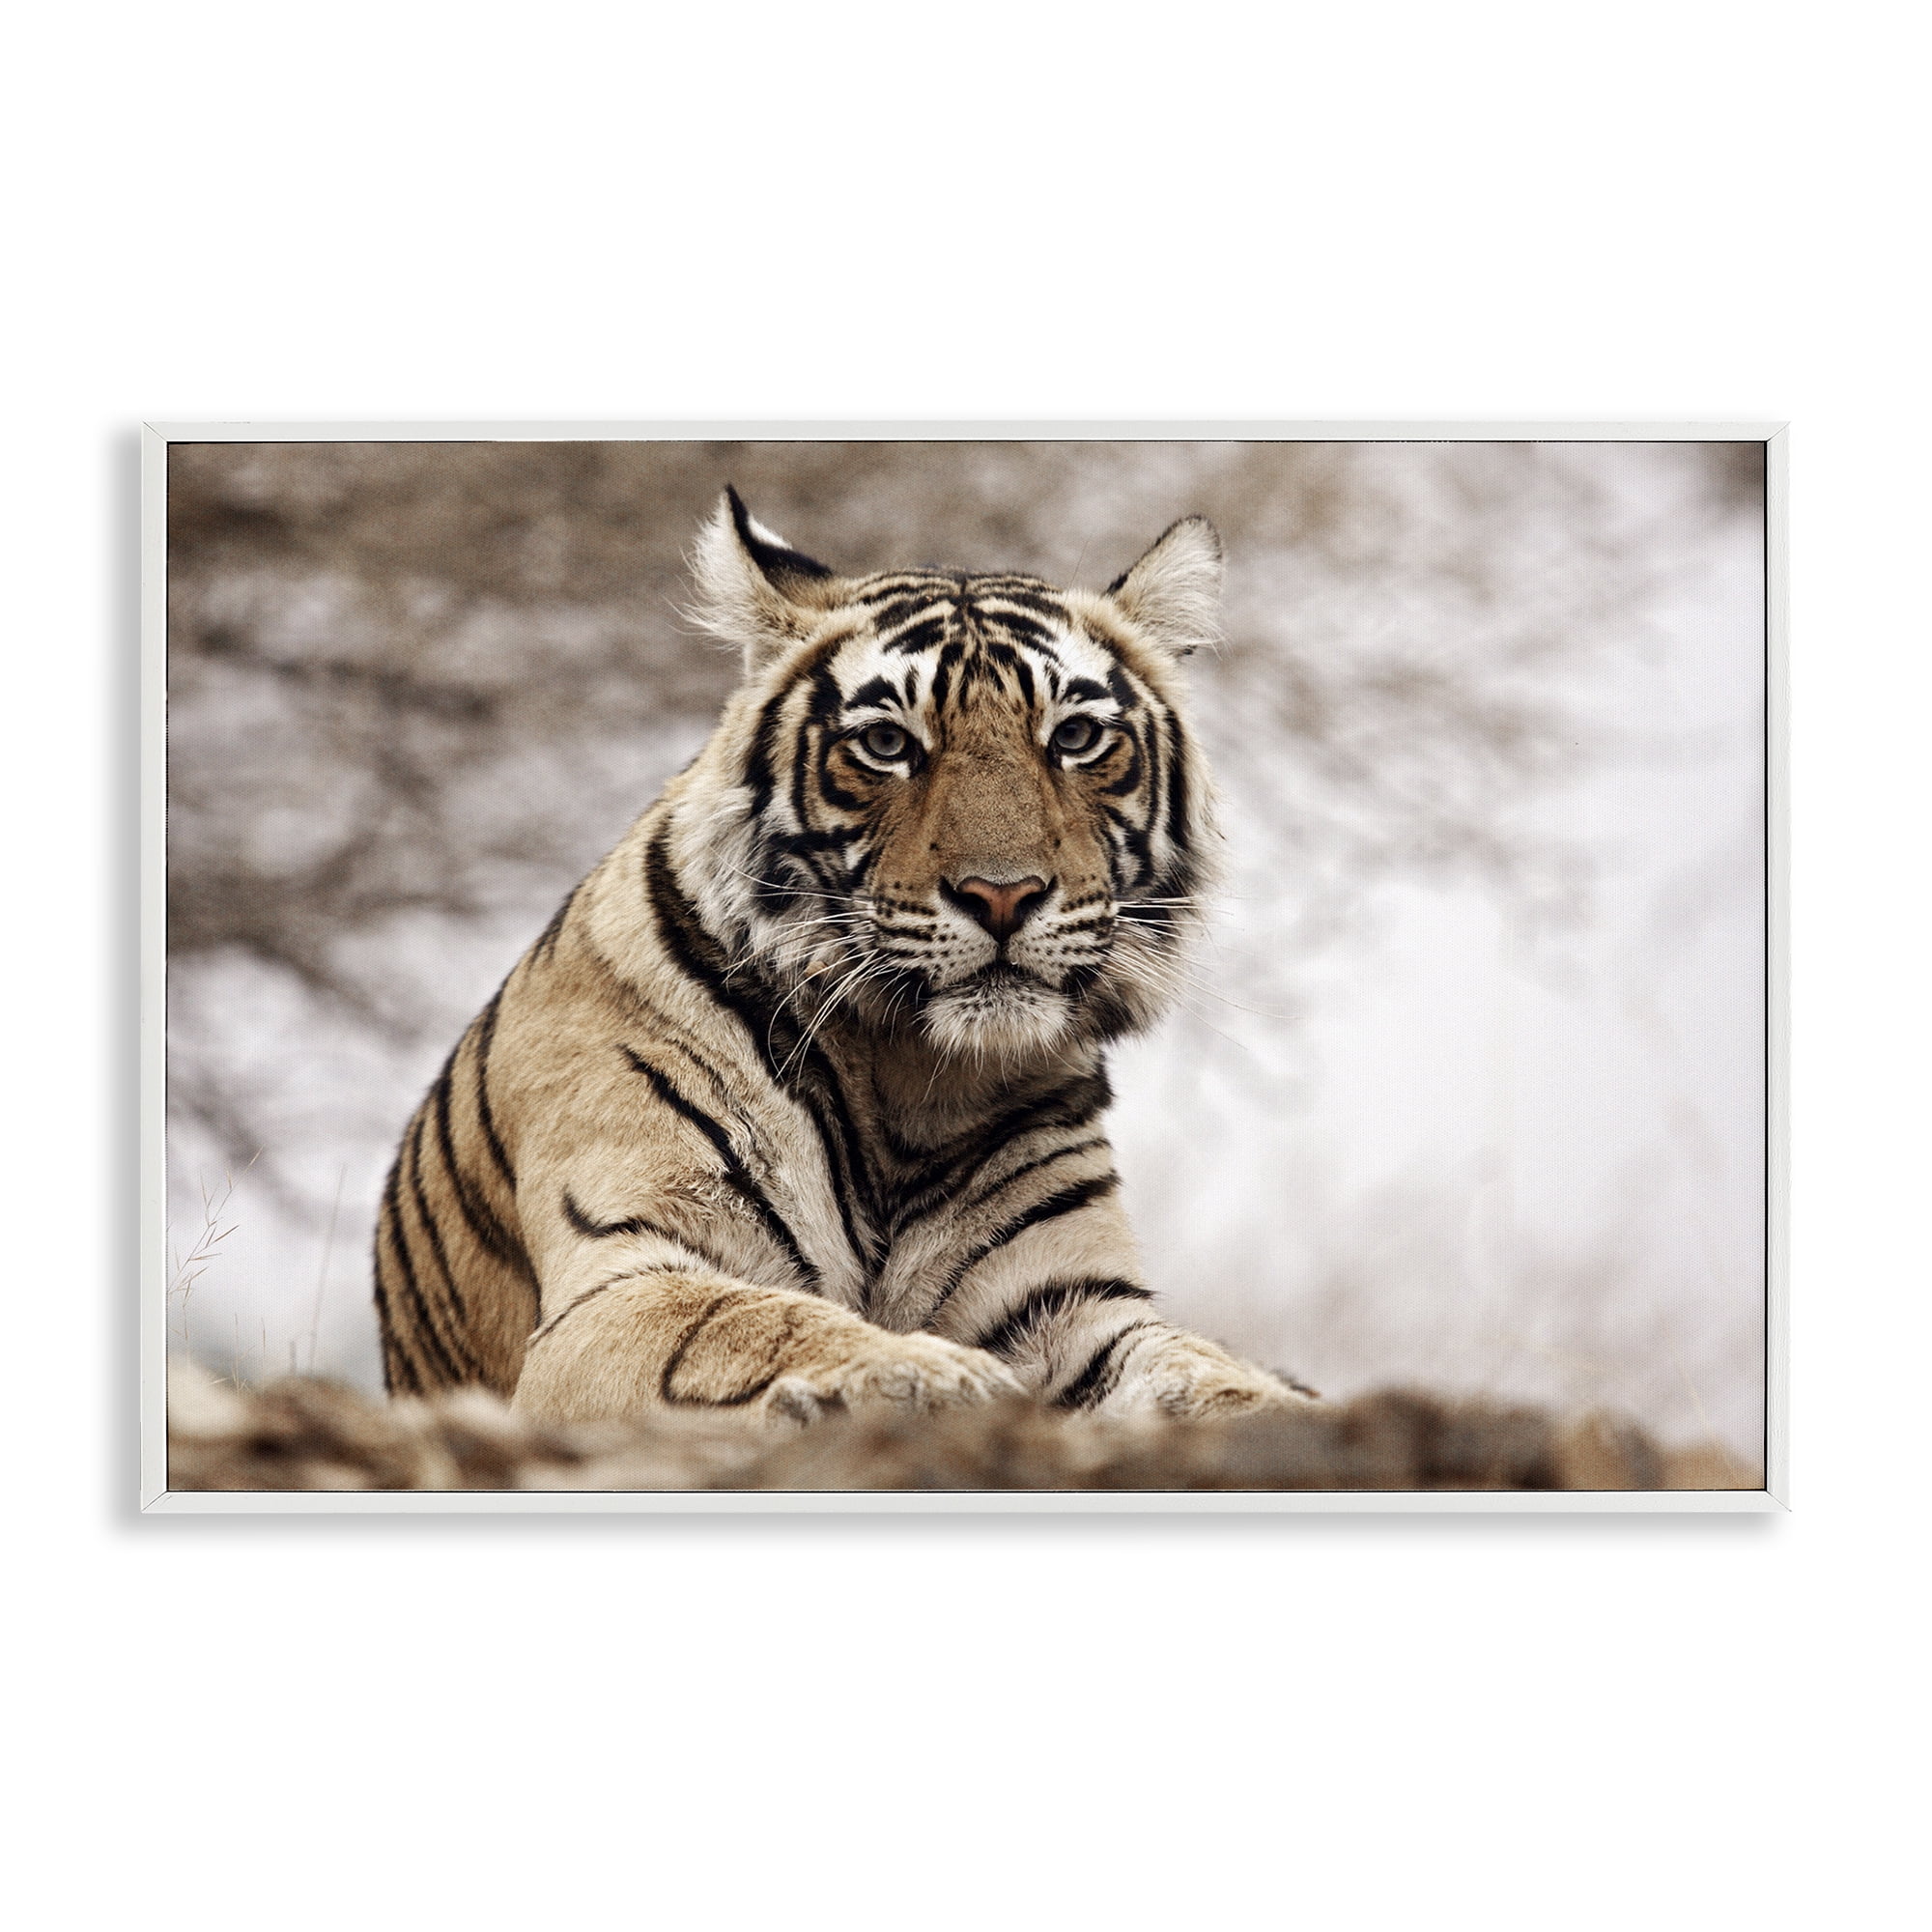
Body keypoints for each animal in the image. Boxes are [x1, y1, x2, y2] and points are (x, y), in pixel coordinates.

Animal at [372, 487, 1309, 1428]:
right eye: (888, 745)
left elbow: (1197, 1369)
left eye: (1075, 737)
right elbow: (757, 1324)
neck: (913, 1081)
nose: (1002, 895)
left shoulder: (1070, 1299)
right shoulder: (620, 1279)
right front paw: (936, 1376)